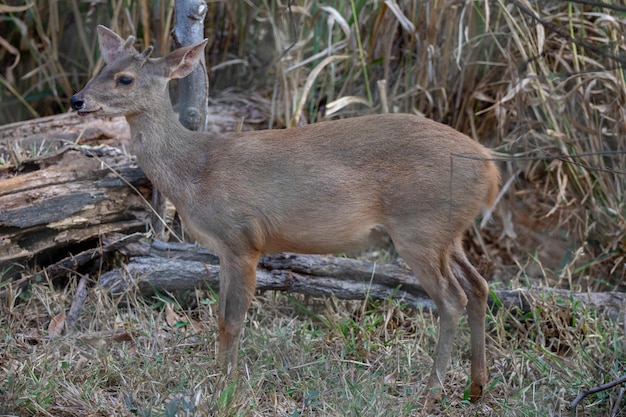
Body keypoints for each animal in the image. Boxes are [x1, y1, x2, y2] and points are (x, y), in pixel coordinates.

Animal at [69, 25, 498, 400]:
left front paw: (226, 388)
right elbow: (220, 319)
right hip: (447, 233)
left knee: (452, 299)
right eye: (101, 69)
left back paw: (432, 391)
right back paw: (476, 387)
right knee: (479, 286)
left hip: (419, 228)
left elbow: (233, 320)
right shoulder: (223, 248)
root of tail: (491, 169)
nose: (77, 100)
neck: (195, 170)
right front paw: (217, 377)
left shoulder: (243, 238)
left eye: (125, 78)